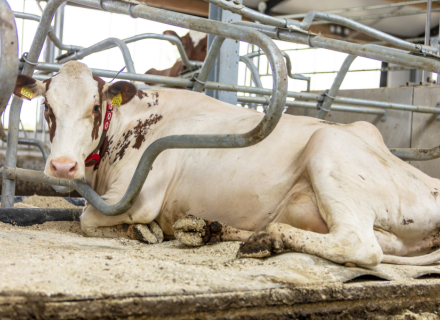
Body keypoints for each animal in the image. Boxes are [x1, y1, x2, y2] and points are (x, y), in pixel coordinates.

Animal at [10, 60, 440, 268]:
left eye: (95, 107)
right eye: (47, 108)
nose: (63, 167)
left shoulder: (138, 196)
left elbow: (86, 220)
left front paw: (143, 231)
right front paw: (152, 231)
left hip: (329, 149)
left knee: (360, 245)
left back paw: (267, 239)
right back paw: (210, 229)